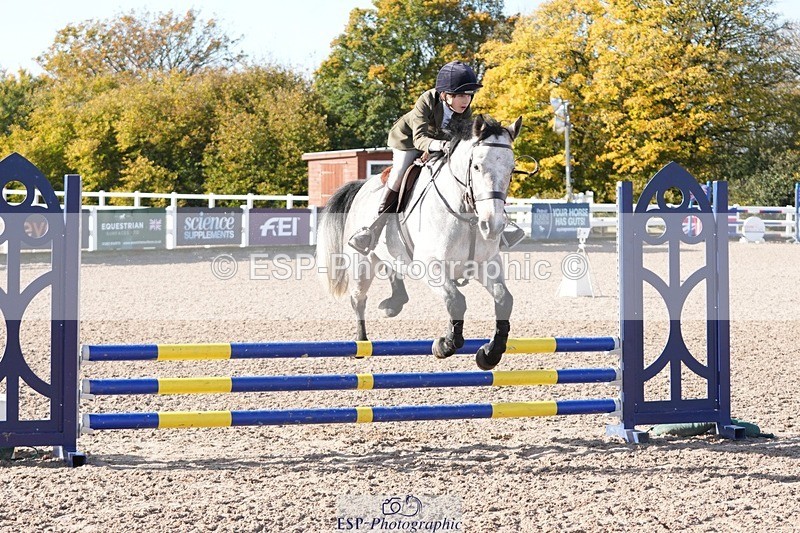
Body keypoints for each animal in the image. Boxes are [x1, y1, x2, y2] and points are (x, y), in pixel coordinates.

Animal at [316, 114, 523, 370]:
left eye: (512, 169)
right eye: (477, 166)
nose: (492, 225)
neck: (466, 214)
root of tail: (363, 185)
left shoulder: (486, 264)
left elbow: (504, 300)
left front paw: (490, 354)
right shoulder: (430, 265)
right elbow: (456, 301)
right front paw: (444, 345)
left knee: (392, 269)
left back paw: (393, 304)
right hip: (362, 261)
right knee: (358, 299)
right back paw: (361, 343)